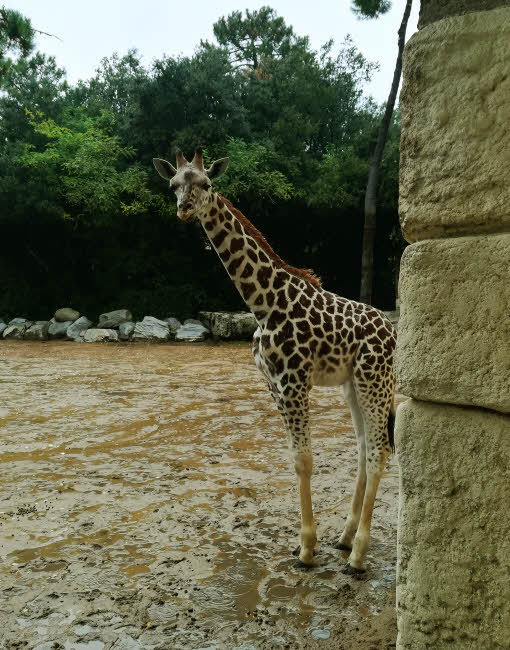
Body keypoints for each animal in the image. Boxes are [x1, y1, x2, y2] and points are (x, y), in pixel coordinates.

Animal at [153, 148, 396, 572]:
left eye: (206, 183)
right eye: (173, 184)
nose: (184, 209)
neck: (263, 303)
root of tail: (395, 333)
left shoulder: (293, 380)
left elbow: (304, 460)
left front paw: (306, 549)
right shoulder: (273, 384)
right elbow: (295, 459)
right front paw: (310, 544)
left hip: (374, 380)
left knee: (378, 450)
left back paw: (358, 555)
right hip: (353, 384)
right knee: (365, 449)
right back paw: (345, 538)